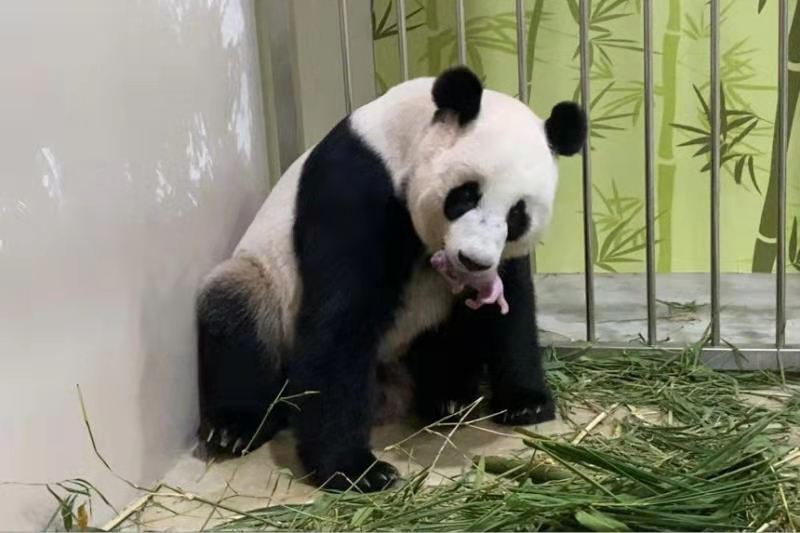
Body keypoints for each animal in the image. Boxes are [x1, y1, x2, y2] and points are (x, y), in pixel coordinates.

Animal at [198, 65, 588, 490]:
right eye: (466, 195)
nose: (472, 260)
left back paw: (448, 395)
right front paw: (355, 470)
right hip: (265, 285)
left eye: (517, 215)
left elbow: (510, 308)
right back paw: (235, 428)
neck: (403, 138)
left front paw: (526, 403)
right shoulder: (355, 185)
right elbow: (341, 317)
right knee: (236, 314)